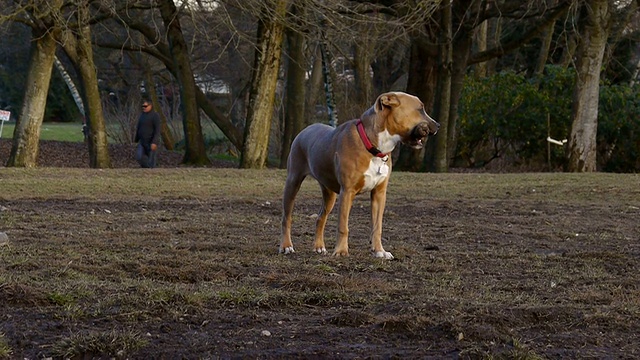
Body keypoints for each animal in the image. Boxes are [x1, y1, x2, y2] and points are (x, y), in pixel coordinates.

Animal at [280, 90, 440, 258]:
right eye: (420, 109)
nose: (438, 125)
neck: (373, 146)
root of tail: (305, 130)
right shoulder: (347, 192)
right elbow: (343, 226)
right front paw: (341, 251)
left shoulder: (379, 194)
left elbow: (377, 227)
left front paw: (379, 251)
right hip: (293, 182)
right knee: (286, 218)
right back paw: (286, 246)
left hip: (329, 194)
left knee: (320, 218)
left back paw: (318, 247)